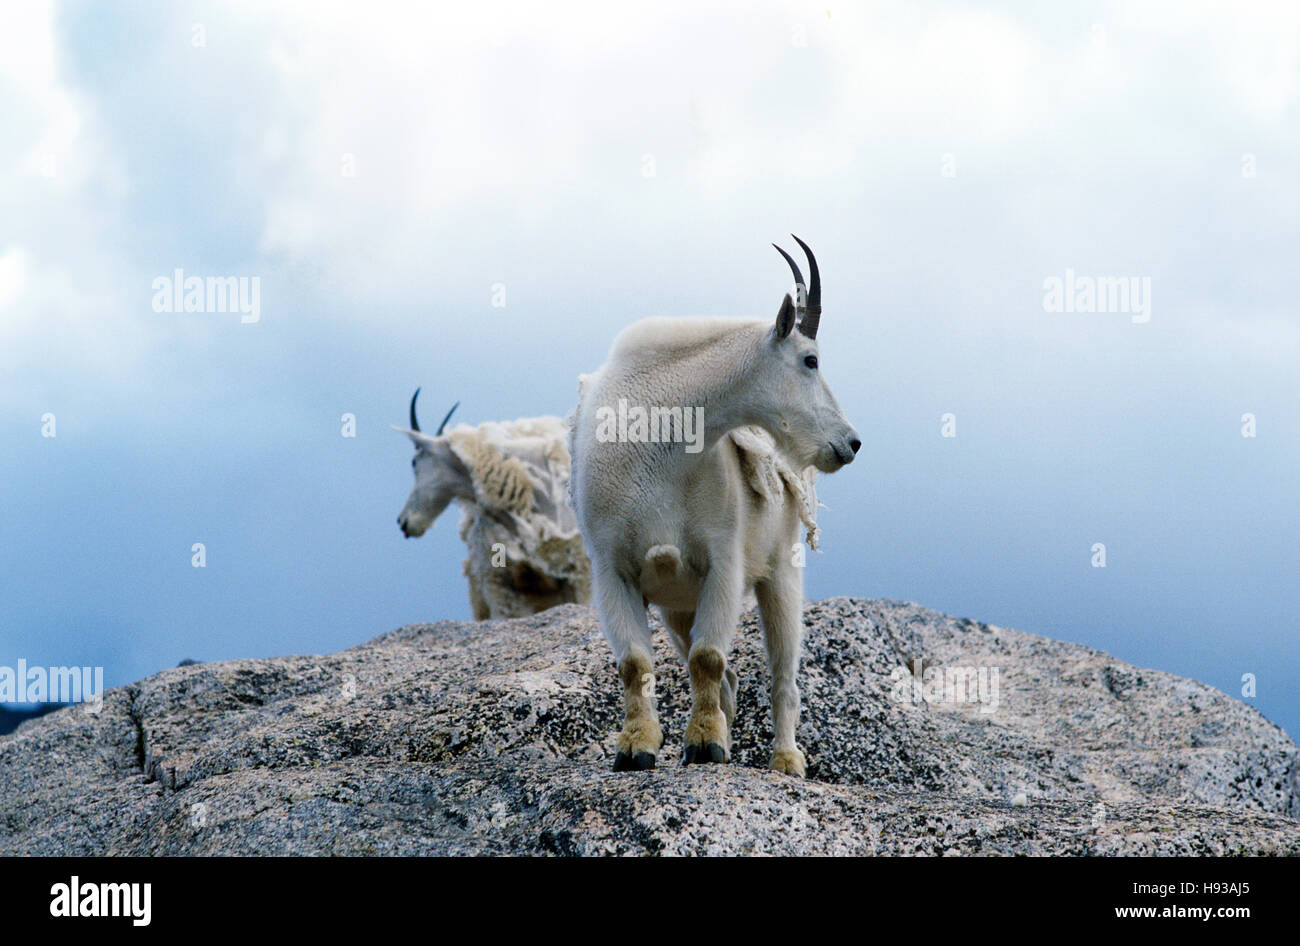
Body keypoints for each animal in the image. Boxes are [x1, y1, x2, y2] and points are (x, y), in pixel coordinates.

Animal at [572, 236, 863, 774]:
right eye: (810, 360)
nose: (851, 443)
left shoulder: (722, 560)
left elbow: (708, 657)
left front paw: (705, 744)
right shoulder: (611, 569)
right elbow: (634, 664)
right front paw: (637, 747)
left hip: (782, 569)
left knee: (783, 677)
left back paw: (786, 759)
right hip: (677, 607)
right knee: (727, 679)